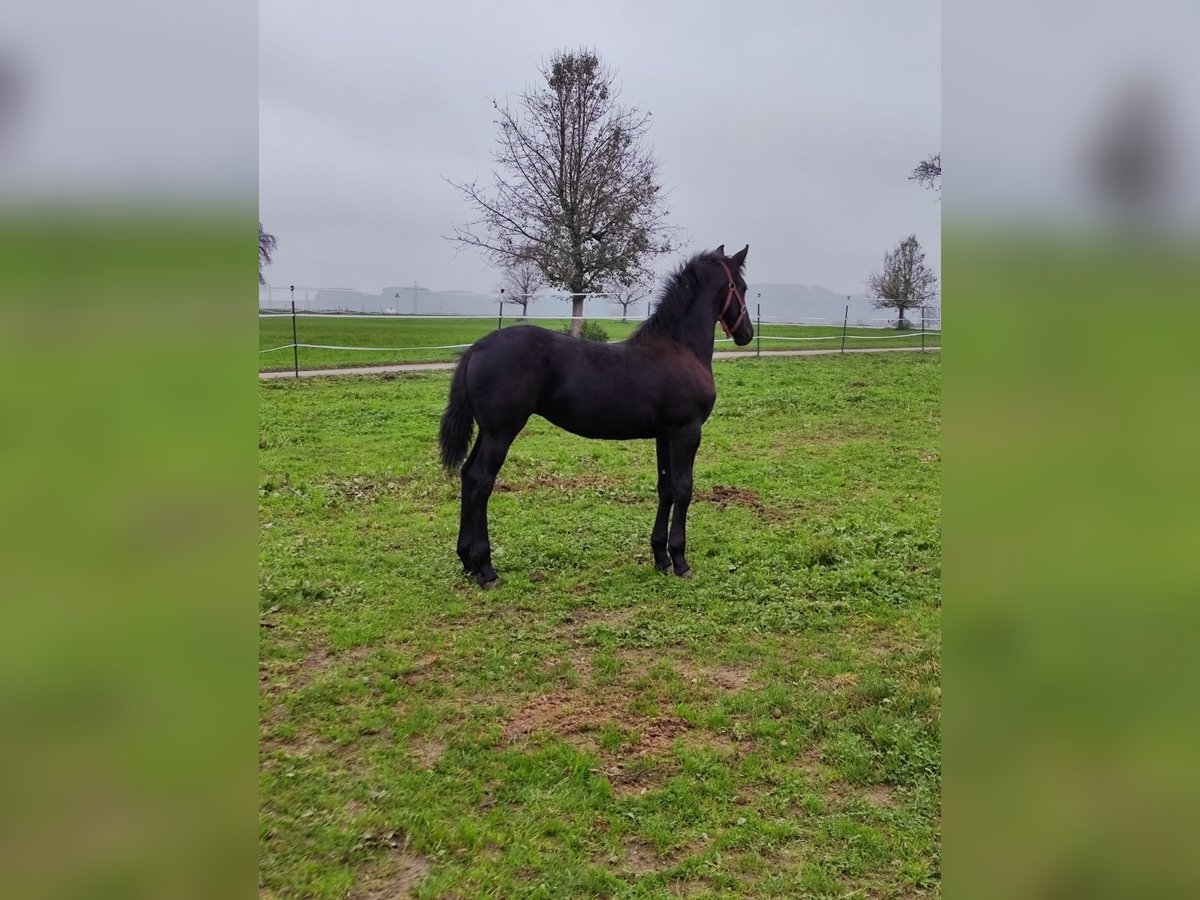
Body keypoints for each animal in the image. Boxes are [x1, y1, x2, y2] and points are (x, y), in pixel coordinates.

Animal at [441, 243, 748, 588]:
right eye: (742, 288)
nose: (747, 334)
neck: (679, 349)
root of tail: (477, 347)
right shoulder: (687, 432)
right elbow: (683, 489)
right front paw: (680, 560)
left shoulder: (664, 435)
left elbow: (666, 487)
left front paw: (661, 557)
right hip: (501, 432)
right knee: (481, 481)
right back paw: (486, 568)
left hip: (488, 431)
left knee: (467, 475)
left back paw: (467, 561)